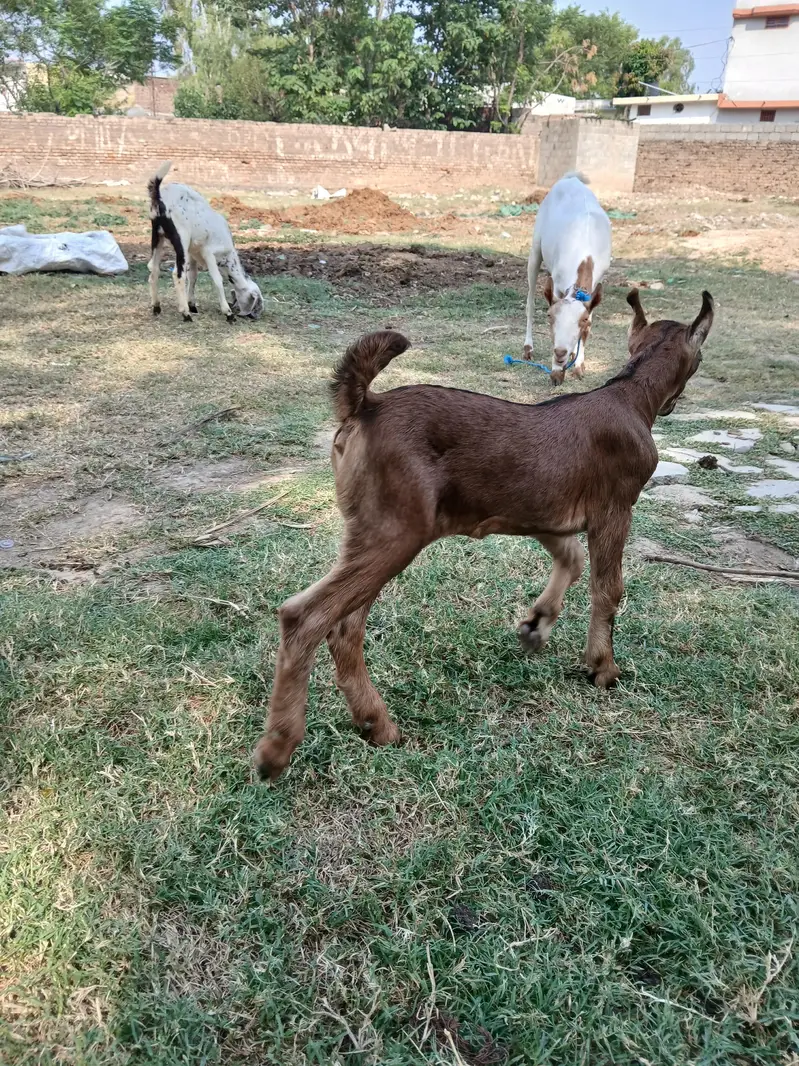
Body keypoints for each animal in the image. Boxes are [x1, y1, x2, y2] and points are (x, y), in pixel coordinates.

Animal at [147, 162, 263, 322]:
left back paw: (156, 307)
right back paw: (185, 314)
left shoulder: (193, 253)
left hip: (157, 236)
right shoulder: (209, 253)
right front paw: (228, 313)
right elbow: (217, 280)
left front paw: (192, 304)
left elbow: (193, 276)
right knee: (178, 274)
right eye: (256, 304)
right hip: (181, 239)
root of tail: (159, 199)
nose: (254, 316)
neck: (228, 257)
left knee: (154, 269)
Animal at [253, 289, 714, 780]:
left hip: (370, 532)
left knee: (344, 628)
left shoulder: (538, 512)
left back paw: (376, 724)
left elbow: (570, 559)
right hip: (395, 532)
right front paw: (602, 667)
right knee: (307, 618)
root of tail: (366, 404)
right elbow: (608, 589)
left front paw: (536, 624)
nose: (674, 404)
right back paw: (278, 747)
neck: (630, 391)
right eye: (700, 357)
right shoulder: (615, 509)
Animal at [524, 172, 611, 385]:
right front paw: (557, 371)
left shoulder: (593, 289)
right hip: (536, 246)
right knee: (530, 300)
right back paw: (528, 348)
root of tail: (571, 178)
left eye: (583, 320)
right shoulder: (558, 283)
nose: (560, 352)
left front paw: (578, 365)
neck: (585, 254)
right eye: (550, 316)